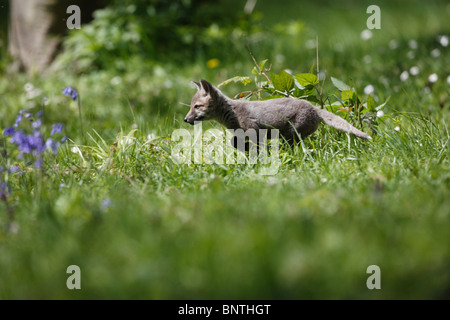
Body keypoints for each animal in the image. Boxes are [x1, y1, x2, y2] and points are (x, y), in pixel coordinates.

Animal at [184, 79, 372, 149]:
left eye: (197, 107)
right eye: (192, 106)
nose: (185, 119)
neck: (233, 114)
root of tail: (314, 108)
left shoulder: (254, 130)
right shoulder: (240, 133)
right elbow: (234, 142)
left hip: (290, 135)